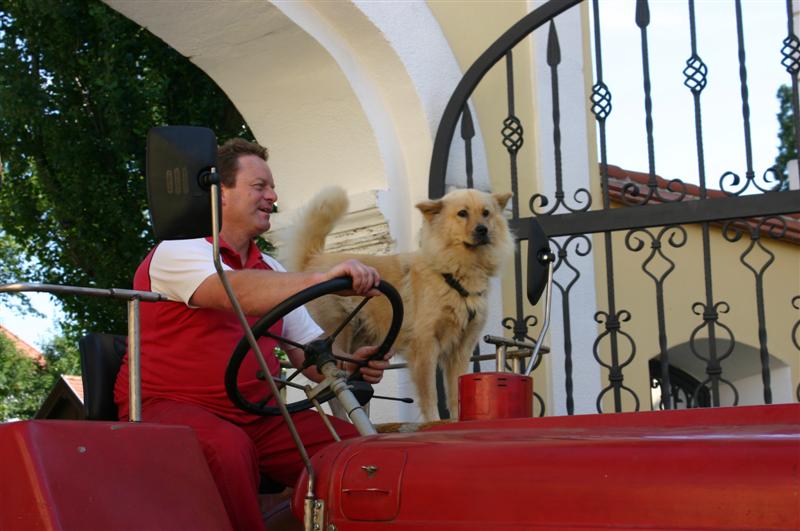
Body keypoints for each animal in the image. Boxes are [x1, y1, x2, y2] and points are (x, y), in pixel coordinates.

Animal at [282, 185, 512, 422]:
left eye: (486, 213)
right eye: (462, 213)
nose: (483, 230)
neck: (453, 273)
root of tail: (313, 260)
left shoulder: (461, 350)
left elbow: (456, 392)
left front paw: (457, 421)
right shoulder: (425, 347)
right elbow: (430, 395)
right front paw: (433, 422)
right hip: (333, 339)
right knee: (332, 388)